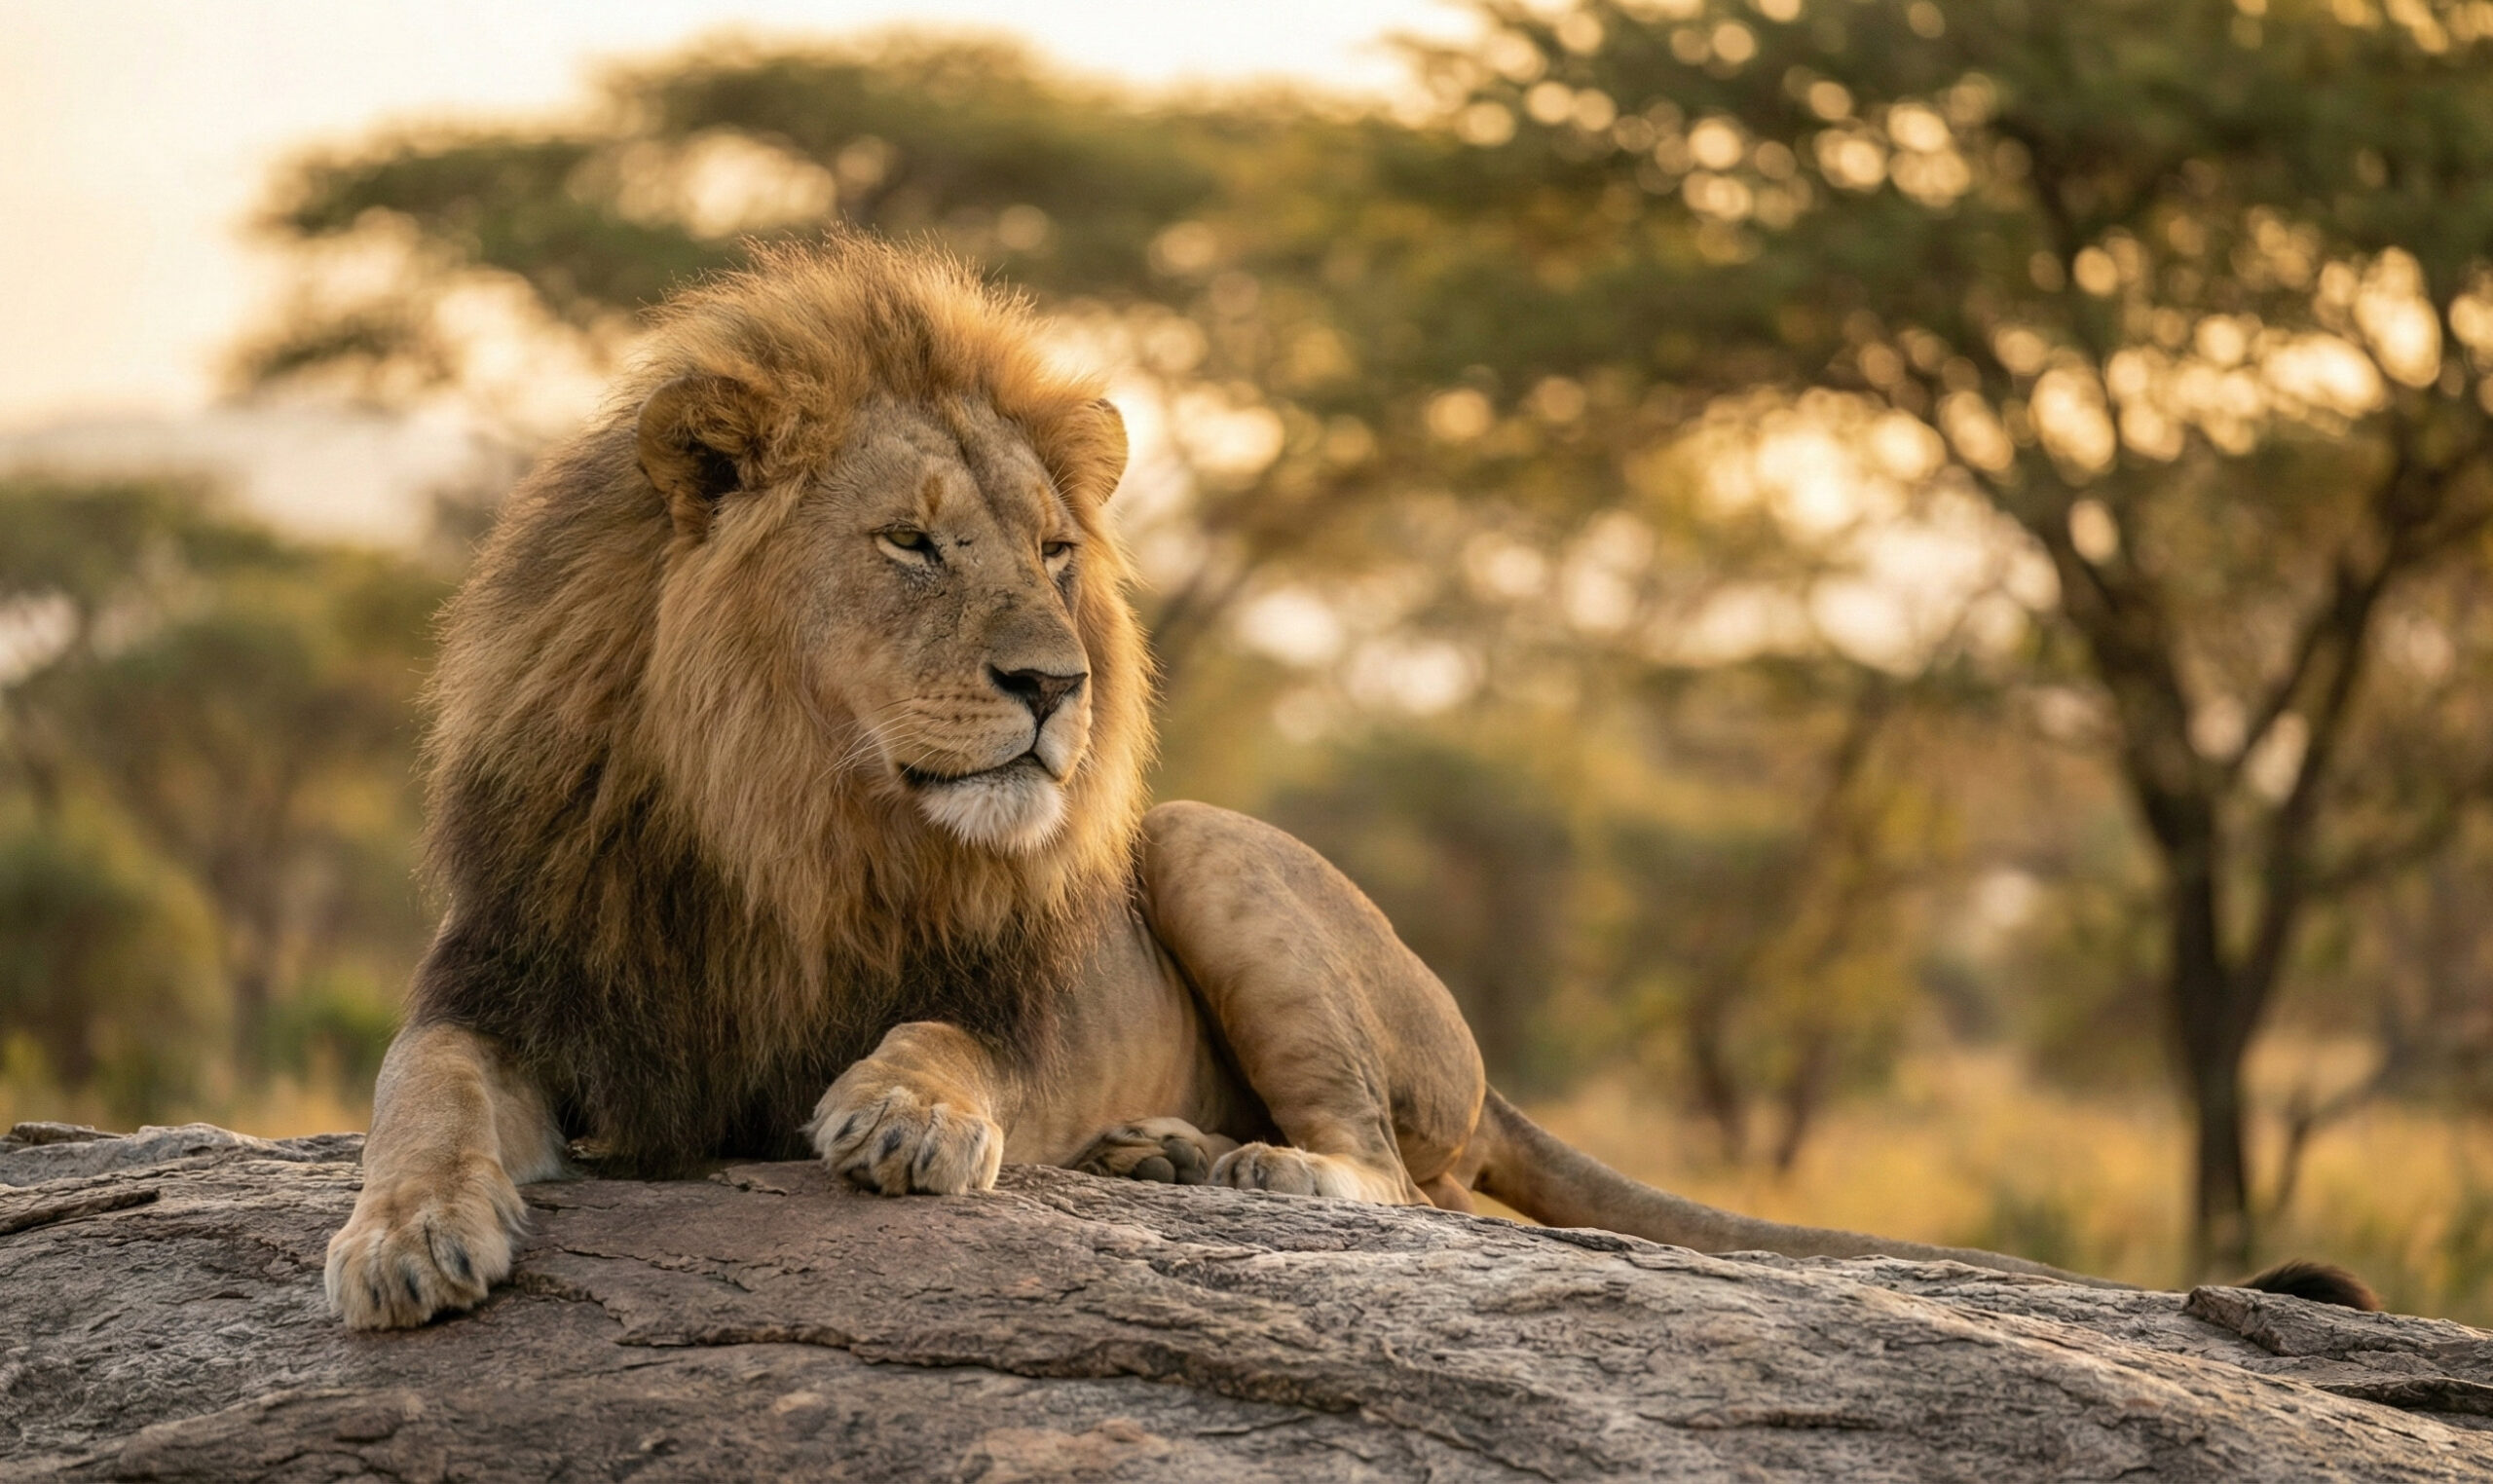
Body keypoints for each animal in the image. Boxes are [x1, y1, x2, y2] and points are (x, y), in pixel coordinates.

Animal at [326, 236, 2374, 1328]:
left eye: (1054, 552)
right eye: (909, 543)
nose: (1056, 688)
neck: (797, 824)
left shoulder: (1033, 993)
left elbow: (954, 1039)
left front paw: (902, 1115)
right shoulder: (510, 969)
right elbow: (417, 1091)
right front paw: (407, 1237)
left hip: (1215, 855)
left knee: (1410, 1180)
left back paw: (1221, 1160)